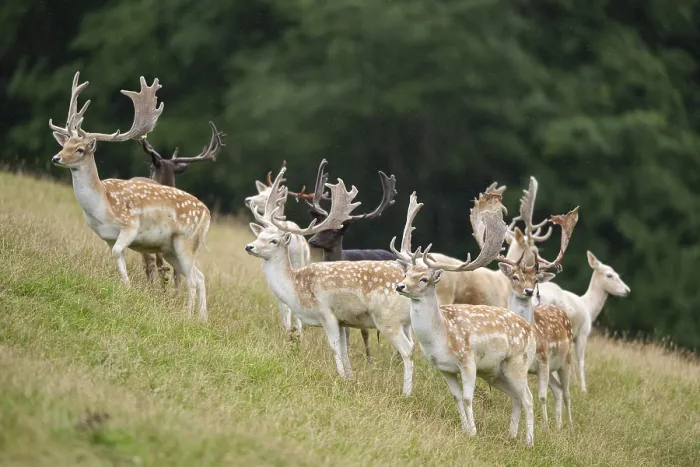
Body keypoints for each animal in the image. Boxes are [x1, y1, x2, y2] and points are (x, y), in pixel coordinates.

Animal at [49, 71, 210, 320]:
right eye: (65, 144)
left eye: (80, 149)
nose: (56, 158)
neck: (102, 206)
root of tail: (208, 214)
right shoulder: (107, 237)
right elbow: (117, 256)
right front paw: (126, 287)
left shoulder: (131, 224)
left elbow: (118, 252)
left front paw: (128, 288)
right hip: (170, 248)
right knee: (200, 277)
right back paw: (202, 319)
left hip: (186, 240)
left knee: (192, 280)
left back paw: (187, 316)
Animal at [393, 189, 537, 446]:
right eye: (407, 273)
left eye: (424, 279)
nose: (400, 286)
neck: (441, 337)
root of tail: (532, 332)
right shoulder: (444, 368)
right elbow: (457, 397)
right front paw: (465, 429)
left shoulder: (468, 361)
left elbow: (469, 398)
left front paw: (474, 432)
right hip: (497, 372)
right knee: (516, 397)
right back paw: (511, 436)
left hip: (518, 363)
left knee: (529, 399)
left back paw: (529, 443)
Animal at [497, 208, 578, 430]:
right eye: (515, 277)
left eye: (535, 280)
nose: (529, 291)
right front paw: (544, 425)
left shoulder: (543, 359)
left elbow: (541, 396)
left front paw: (545, 428)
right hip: (552, 370)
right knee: (558, 390)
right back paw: (559, 426)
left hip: (566, 359)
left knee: (567, 392)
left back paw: (568, 425)